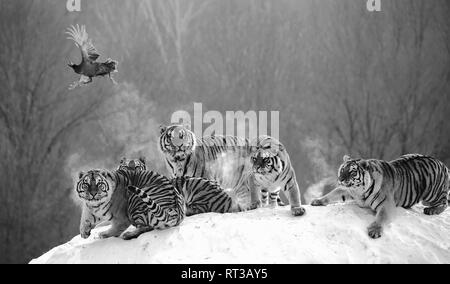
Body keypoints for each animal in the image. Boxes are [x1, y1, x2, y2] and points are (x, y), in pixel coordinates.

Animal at [312, 154, 450, 239]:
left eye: (352, 172)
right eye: (342, 169)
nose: (340, 179)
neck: (358, 191)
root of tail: (442, 164)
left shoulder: (386, 204)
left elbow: (381, 218)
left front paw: (374, 231)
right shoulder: (347, 190)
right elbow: (332, 194)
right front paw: (317, 201)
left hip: (432, 192)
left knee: (444, 202)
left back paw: (432, 210)